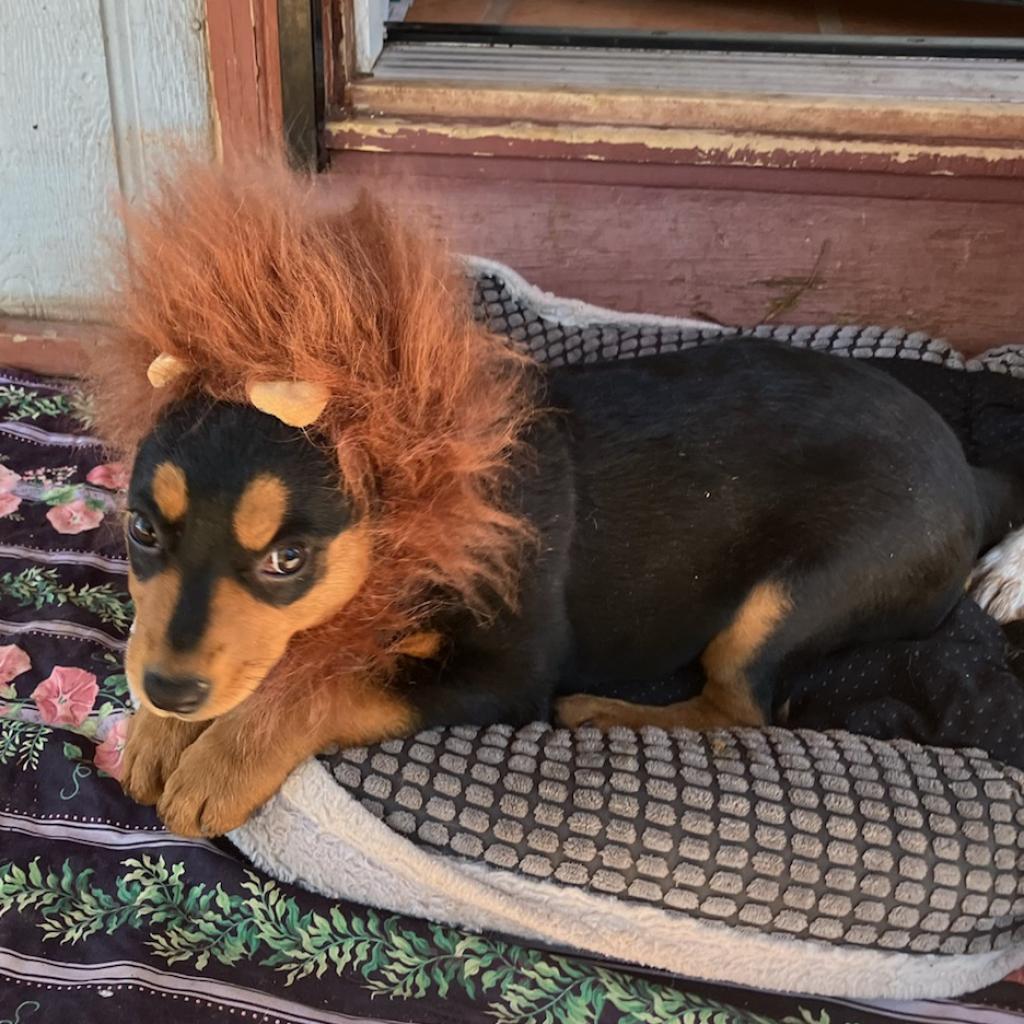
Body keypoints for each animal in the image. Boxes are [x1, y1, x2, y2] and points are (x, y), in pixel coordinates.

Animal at [119, 339, 1015, 835]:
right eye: (140, 532)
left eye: (287, 560)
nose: (170, 690)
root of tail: (970, 478)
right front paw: (160, 732)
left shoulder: (504, 676)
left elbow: (329, 685)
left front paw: (218, 763)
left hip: (787, 603)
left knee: (740, 706)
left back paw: (607, 714)